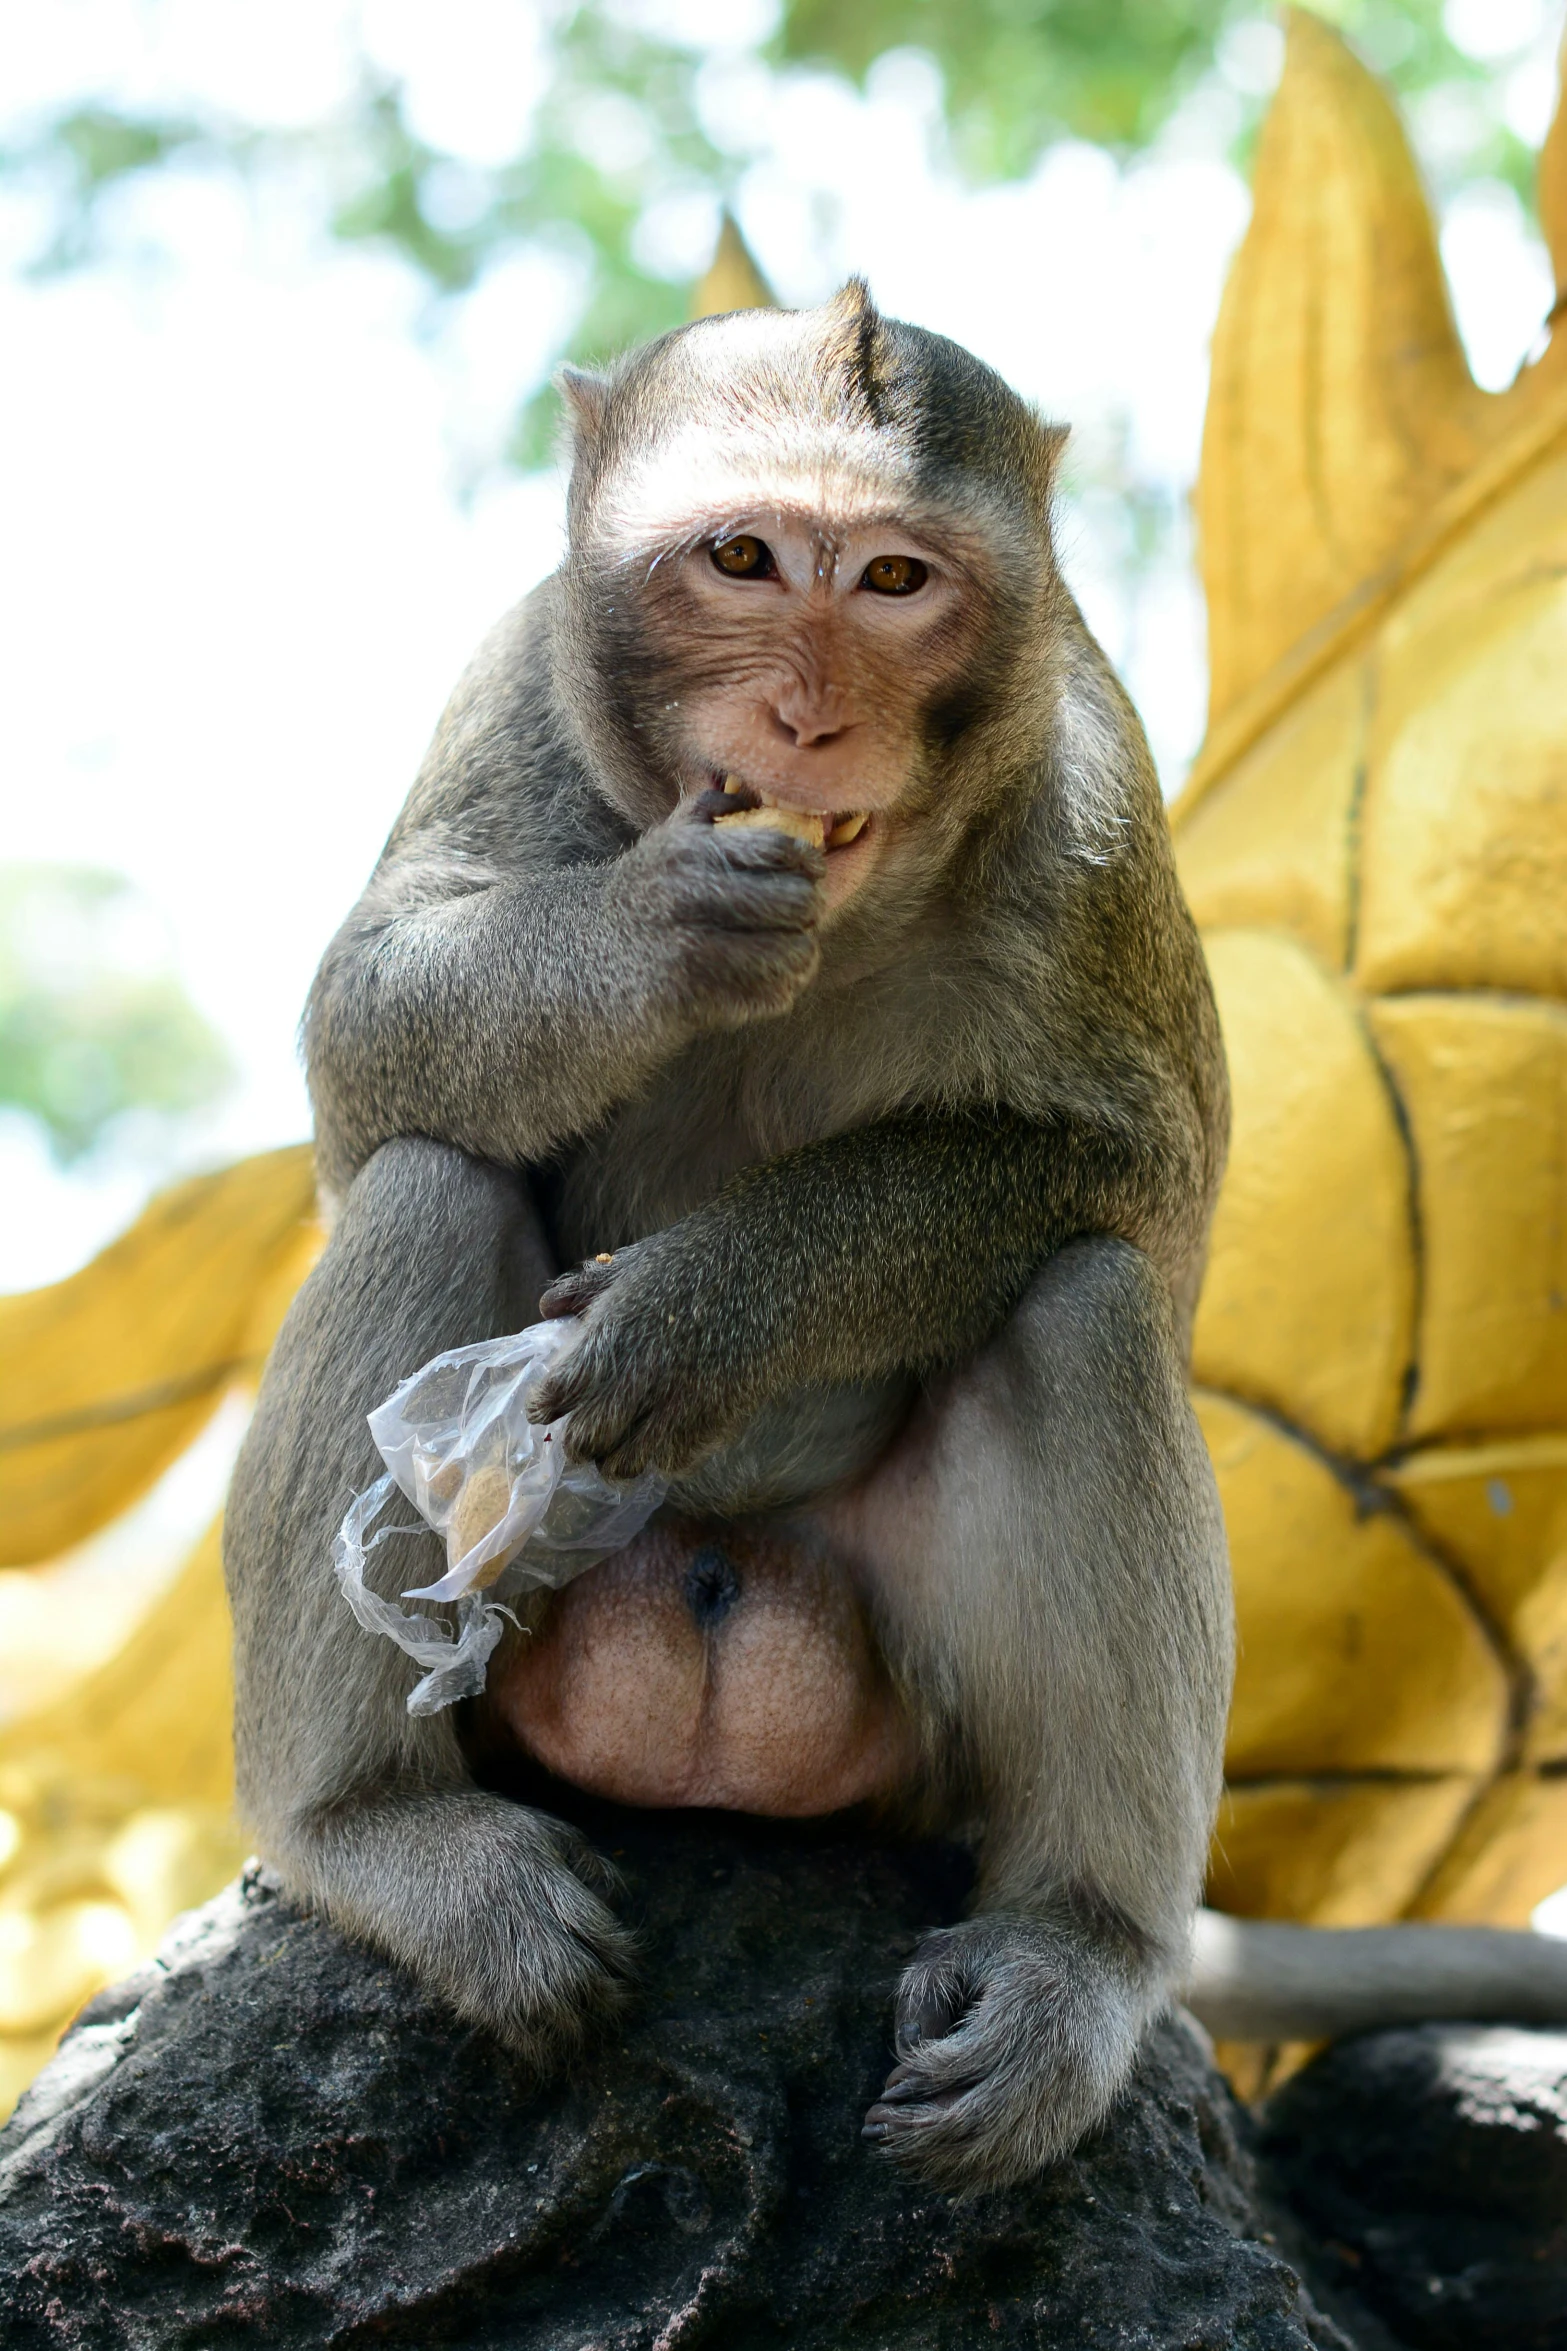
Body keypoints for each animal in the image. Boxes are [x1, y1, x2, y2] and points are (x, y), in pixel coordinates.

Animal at [223, 284, 1567, 2191]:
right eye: (740, 556)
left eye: (891, 582)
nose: (805, 718)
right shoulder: (513, 684)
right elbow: (365, 1046)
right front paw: (648, 929)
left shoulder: (1089, 795)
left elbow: (1130, 1175)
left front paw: (699, 1311)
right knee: (433, 1178)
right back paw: (376, 1832)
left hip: (918, 1718)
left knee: (1080, 1306)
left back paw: (1077, 1949)